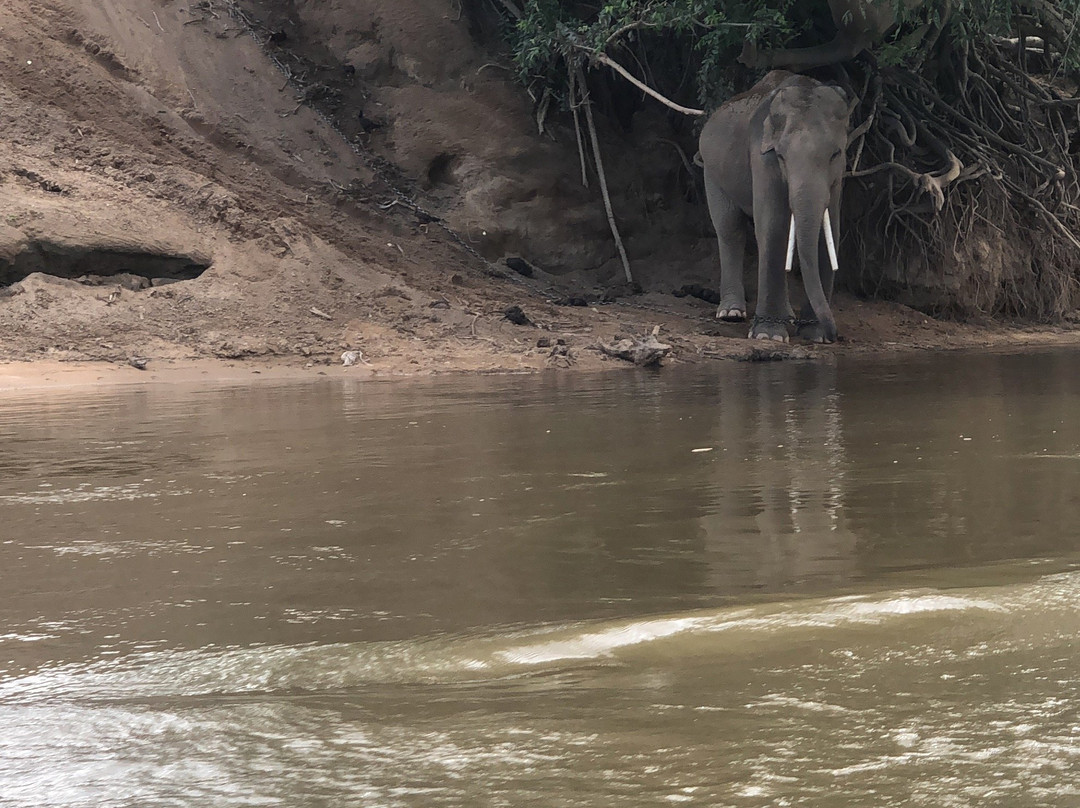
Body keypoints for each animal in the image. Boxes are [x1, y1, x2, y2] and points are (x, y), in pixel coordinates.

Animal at [699, 70, 851, 343]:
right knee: (729, 230)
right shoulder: (762, 156)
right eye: (780, 156)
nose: (834, 335)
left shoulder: (838, 178)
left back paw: (787, 316)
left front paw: (815, 335)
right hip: (712, 173)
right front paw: (768, 336)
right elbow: (773, 227)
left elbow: (829, 232)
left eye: (835, 154)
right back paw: (731, 313)